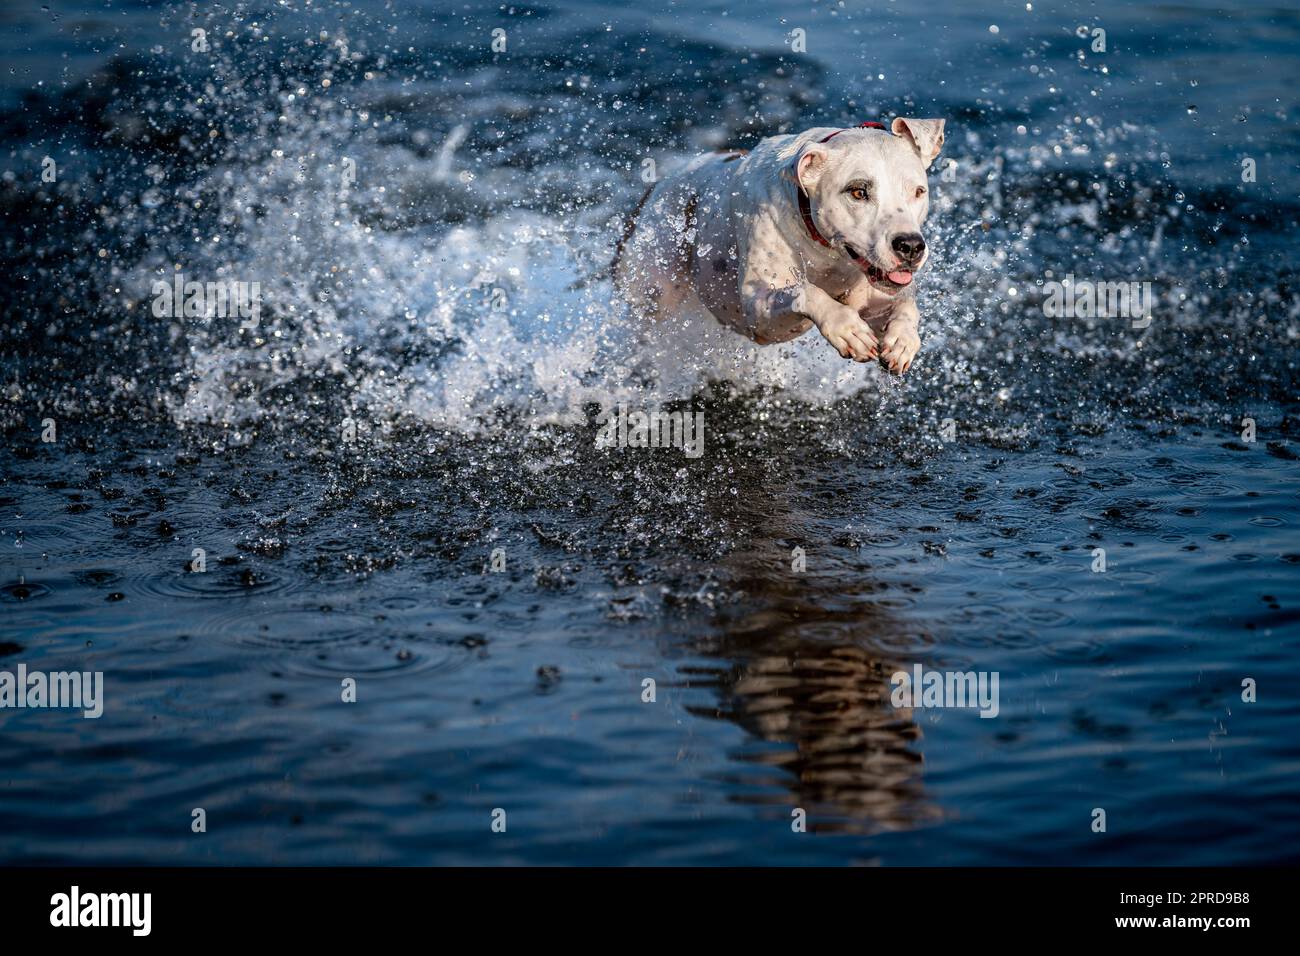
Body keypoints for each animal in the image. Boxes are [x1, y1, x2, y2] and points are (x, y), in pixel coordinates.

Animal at [613, 117, 951, 374]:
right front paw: (845, 328)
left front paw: (903, 340)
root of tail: (659, 185)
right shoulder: (759, 314)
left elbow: (907, 305)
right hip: (654, 291)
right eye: (858, 192)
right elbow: (806, 292)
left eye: (918, 191)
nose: (910, 246)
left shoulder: (880, 294)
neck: (828, 254)